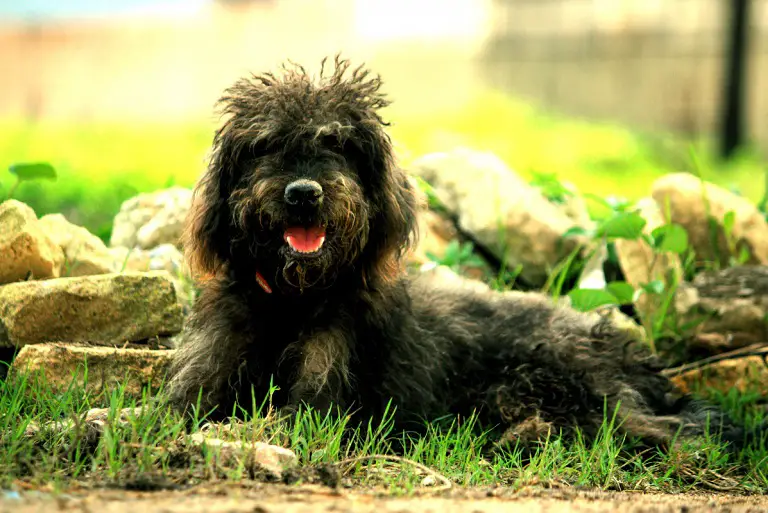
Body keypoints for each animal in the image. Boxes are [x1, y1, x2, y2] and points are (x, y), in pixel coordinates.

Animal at [166, 55, 752, 448]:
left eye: (338, 144)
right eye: (264, 145)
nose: (304, 193)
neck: (291, 301)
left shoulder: (319, 403)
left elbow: (275, 420)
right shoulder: (202, 376)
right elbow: (171, 412)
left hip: (561, 385)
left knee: (669, 432)